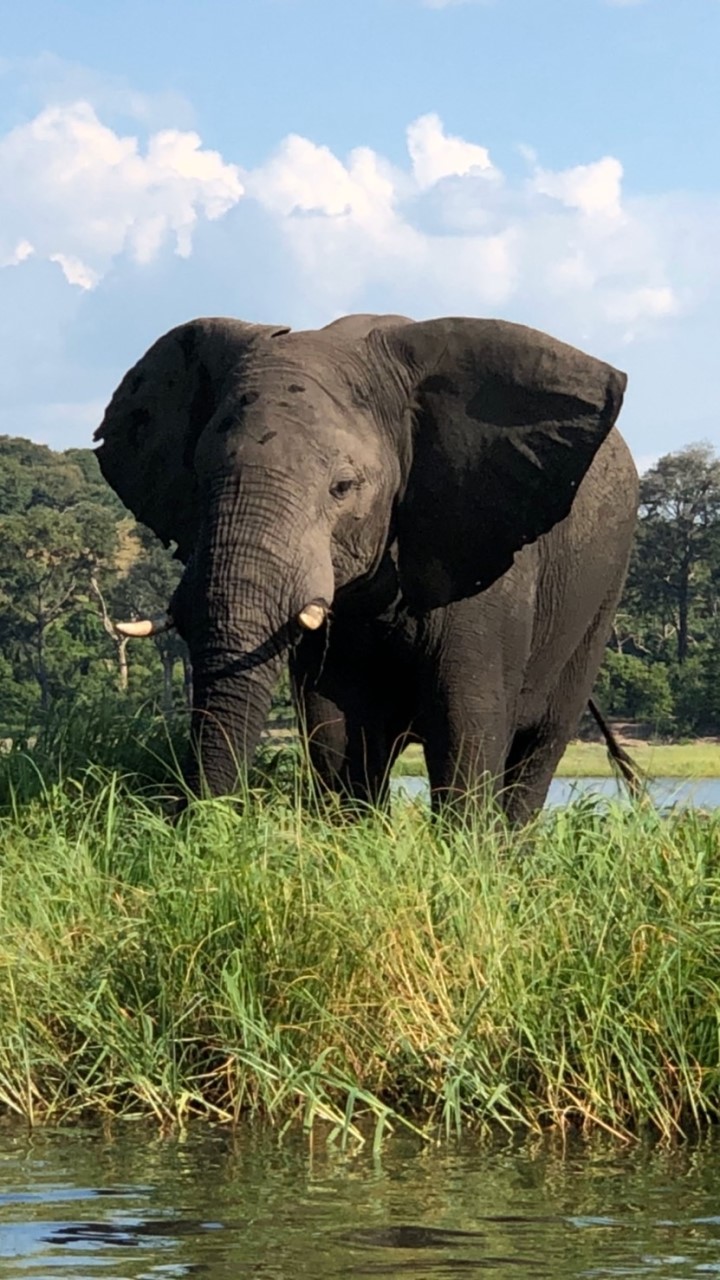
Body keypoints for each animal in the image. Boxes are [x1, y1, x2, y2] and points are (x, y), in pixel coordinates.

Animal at [92, 314, 635, 824]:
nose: (190, 820)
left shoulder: (488, 569)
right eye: (202, 478)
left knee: (539, 749)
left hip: (599, 603)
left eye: (342, 487)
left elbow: (467, 723)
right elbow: (334, 726)